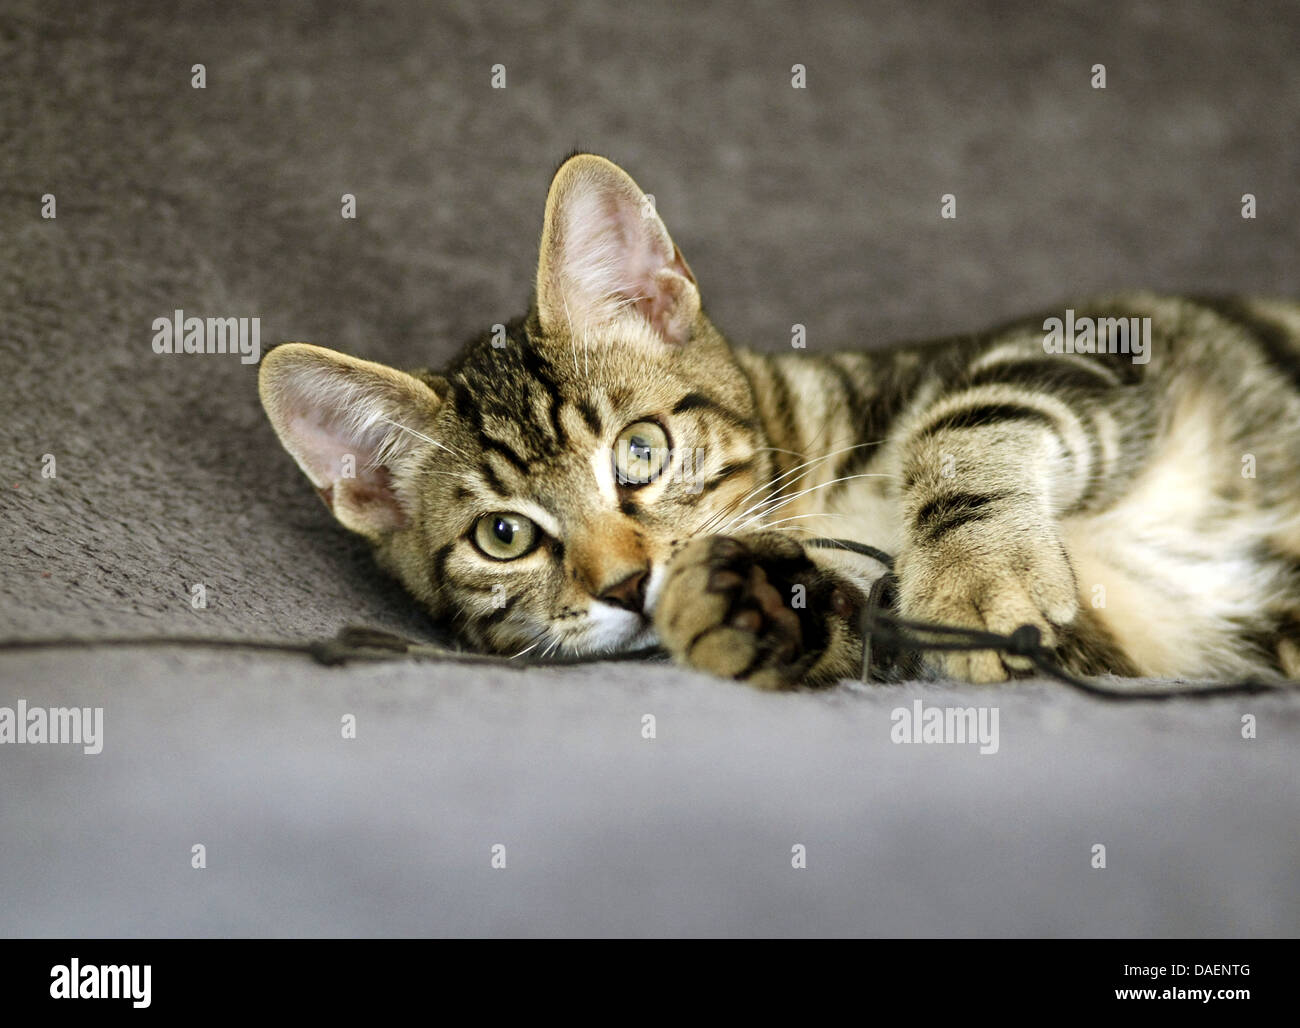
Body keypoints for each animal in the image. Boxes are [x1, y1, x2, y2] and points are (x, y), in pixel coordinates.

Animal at [258, 152, 1300, 691]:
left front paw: (971, 570)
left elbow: (975, 415)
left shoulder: (1111, 335)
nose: (628, 583)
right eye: (504, 536)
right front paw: (755, 607)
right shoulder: (1128, 636)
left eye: (641, 452)